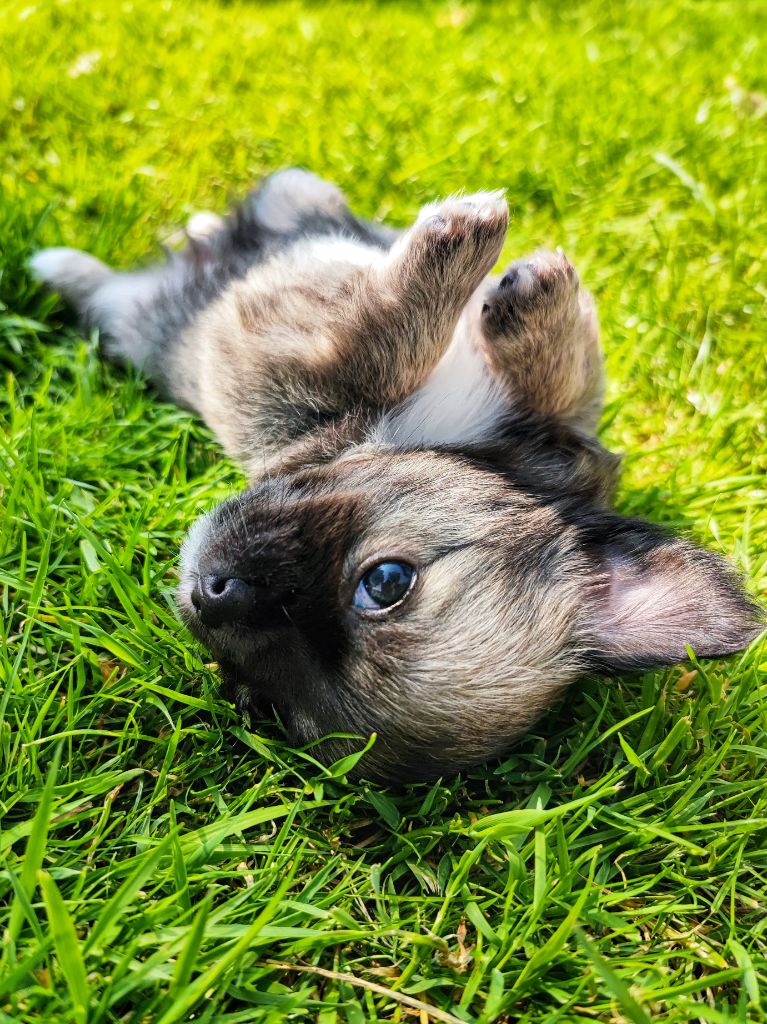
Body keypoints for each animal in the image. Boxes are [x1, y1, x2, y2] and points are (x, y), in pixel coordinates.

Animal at [30, 168, 764, 781]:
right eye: (388, 581)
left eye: (259, 700)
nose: (214, 593)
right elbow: (527, 368)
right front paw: (508, 271)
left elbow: (425, 358)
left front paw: (495, 274)